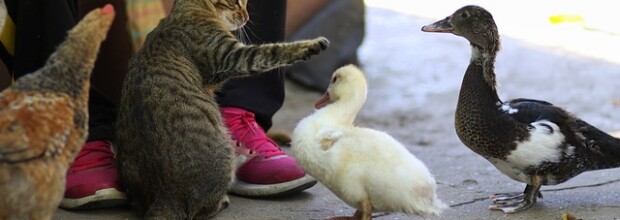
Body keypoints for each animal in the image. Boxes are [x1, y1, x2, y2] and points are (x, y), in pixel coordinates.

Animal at [115, 0, 330, 218]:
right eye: (237, 3)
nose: (246, 16)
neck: (191, 9)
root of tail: (164, 198)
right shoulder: (231, 55)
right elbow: (271, 51)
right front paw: (313, 44)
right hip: (225, 154)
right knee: (201, 210)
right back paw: (222, 200)